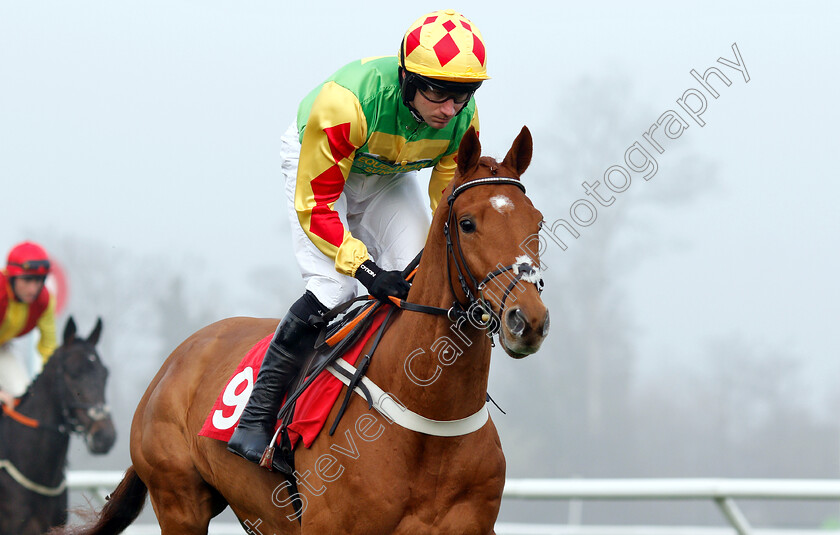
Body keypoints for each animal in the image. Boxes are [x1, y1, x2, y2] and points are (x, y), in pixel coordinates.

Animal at [54, 126, 552, 535]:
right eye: (467, 224)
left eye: (538, 223)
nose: (527, 320)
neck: (429, 421)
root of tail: (172, 363)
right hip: (179, 501)